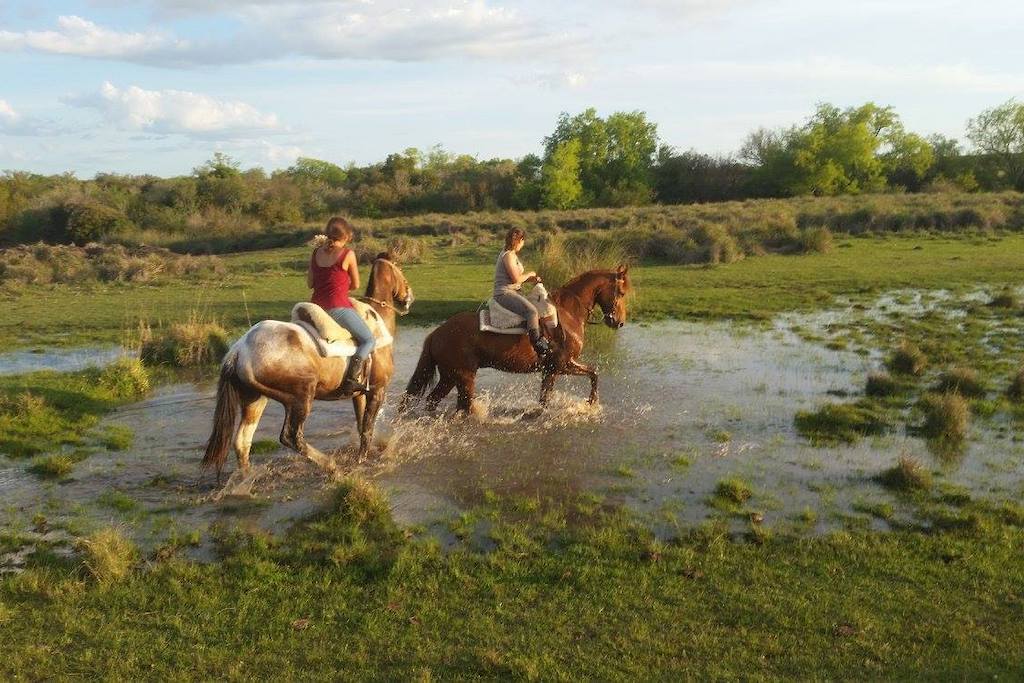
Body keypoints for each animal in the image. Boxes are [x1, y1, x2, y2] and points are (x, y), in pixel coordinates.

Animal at [201, 253, 413, 483]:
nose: (408, 296)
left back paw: (246, 481)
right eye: (400, 269)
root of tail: (239, 350)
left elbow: (361, 424)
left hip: (255, 399)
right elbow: (367, 429)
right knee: (291, 437)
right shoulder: (377, 390)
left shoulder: (359, 394)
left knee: (242, 441)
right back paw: (331, 467)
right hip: (300, 397)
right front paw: (362, 460)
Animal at [401, 264, 626, 413]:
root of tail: (436, 333)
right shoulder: (560, 366)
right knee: (460, 406)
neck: (568, 313)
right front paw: (591, 402)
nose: (619, 322)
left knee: (433, 401)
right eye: (622, 292)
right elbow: (591, 374)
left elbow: (586, 377)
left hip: (450, 376)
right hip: (462, 376)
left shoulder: (553, 369)